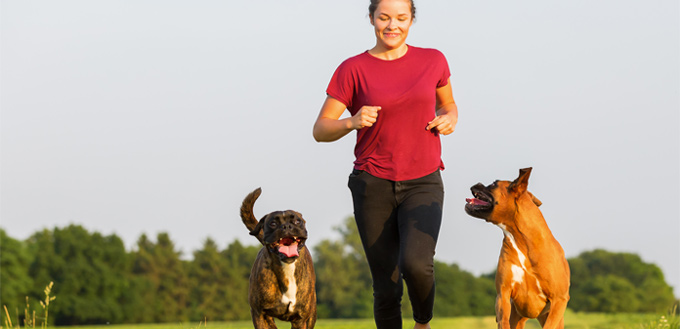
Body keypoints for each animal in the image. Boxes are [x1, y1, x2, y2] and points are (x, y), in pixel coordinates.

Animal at [240, 187, 318, 328]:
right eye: (273, 223)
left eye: (297, 221)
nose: (286, 226)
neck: (287, 266)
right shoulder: (260, 314)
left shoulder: (300, 319)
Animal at [464, 168, 572, 326]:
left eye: (494, 184)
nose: (477, 183)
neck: (523, 242)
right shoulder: (503, 295)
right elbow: (503, 321)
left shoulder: (559, 300)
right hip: (517, 316)